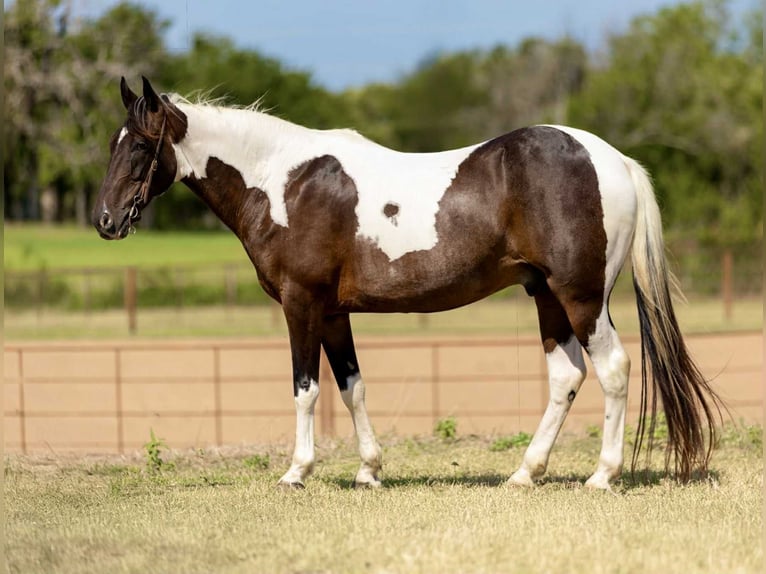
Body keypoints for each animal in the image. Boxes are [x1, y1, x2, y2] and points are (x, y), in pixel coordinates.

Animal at [93, 76, 723, 489]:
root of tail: (613, 160)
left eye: (142, 146)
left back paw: (602, 476)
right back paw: (525, 474)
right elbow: (351, 386)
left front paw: (297, 472)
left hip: (581, 297)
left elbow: (306, 388)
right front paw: (369, 471)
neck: (282, 183)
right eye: (114, 144)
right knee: (566, 377)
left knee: (614, 370)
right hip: (546, 295)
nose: (104, 221)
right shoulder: (333, 312)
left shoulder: (301, 305)